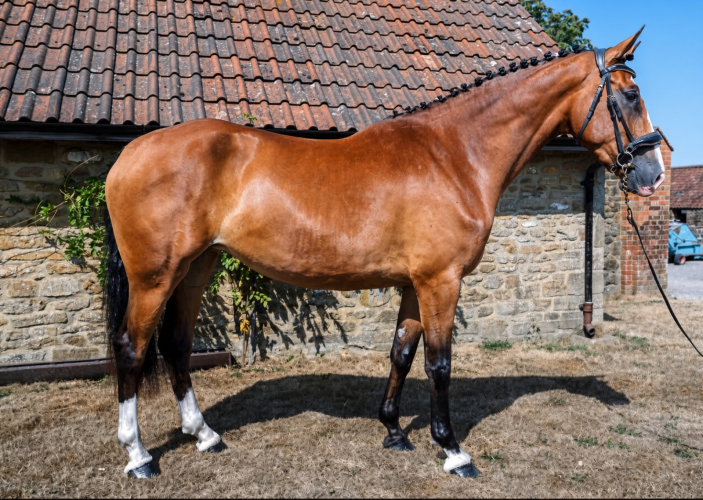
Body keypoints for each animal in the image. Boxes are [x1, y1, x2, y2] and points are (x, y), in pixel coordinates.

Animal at [104, 29, 665, 478]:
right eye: (631, 94)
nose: (653, 173)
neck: (455, 155)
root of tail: (131, 152)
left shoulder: (415, 285)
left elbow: (401, 352)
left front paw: (394, 431)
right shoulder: (442, 281)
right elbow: (439, 363)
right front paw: (453, 451)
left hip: (195, 269)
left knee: (176, 346)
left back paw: (205, 435)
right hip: (155, 276)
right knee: (132, 348)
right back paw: (138, 456)